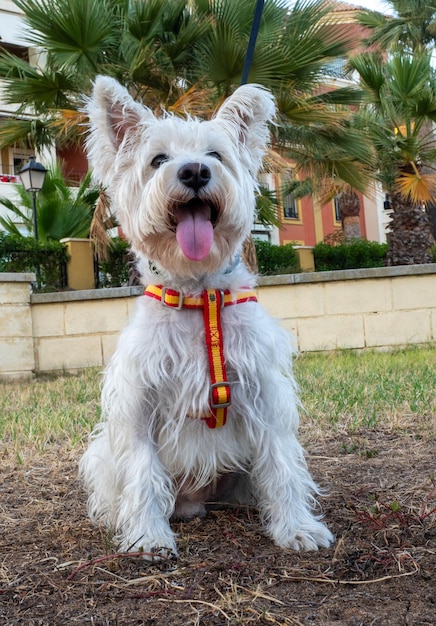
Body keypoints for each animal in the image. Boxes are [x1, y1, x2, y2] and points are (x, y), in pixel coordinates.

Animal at [79, 75, 334, 560]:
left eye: (215, 154)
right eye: (158, 159)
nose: (194, 171)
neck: (199, 295)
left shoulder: (264, 393)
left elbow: (282, 465)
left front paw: (297, 527)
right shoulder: (139, 404)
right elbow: (142, 473)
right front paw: (148, 536)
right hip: (102, 450)